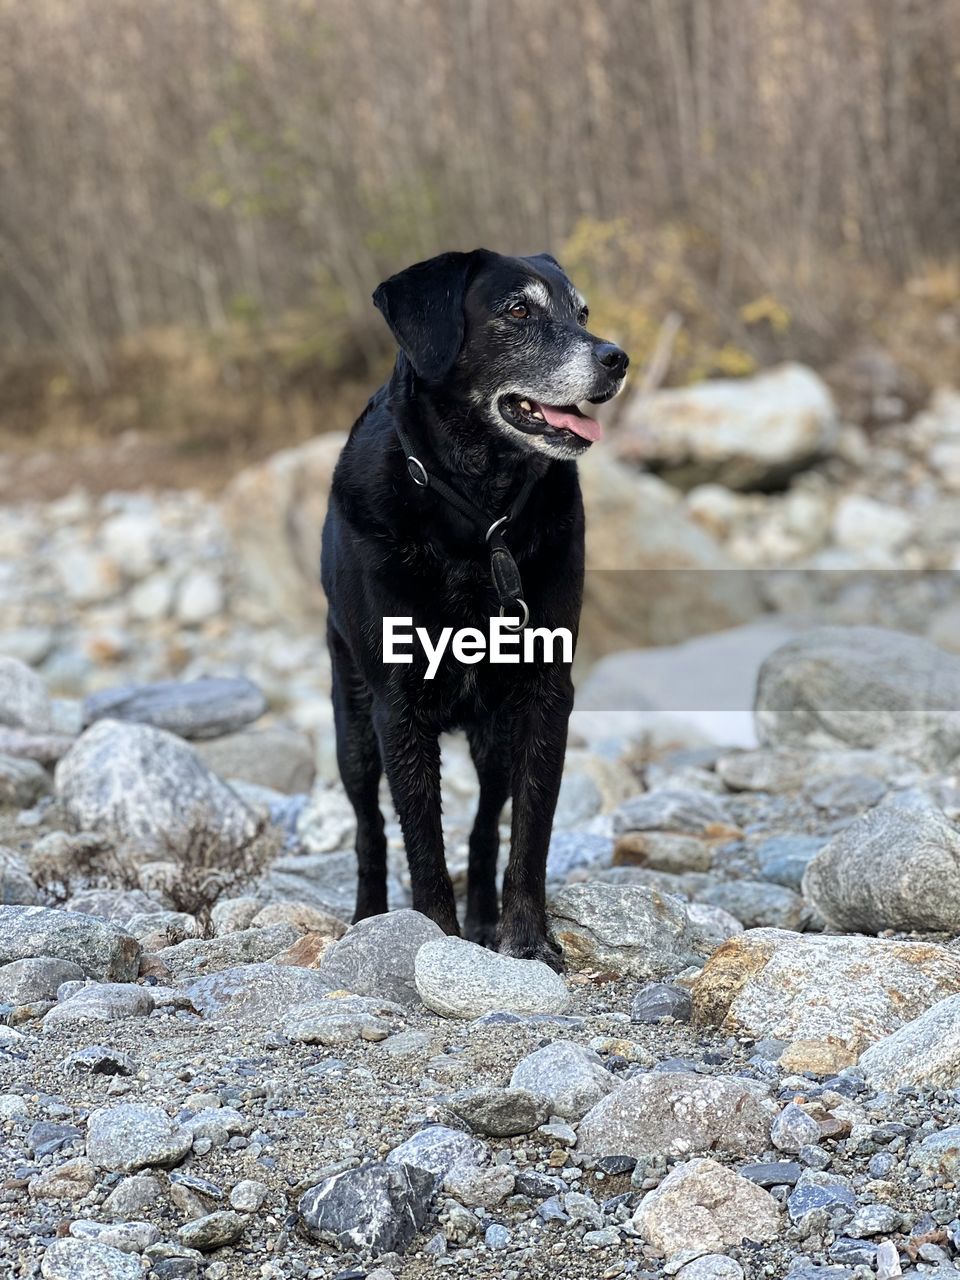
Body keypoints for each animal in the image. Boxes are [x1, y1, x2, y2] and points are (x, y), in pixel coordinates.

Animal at [320, 249, 627, 962]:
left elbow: (530, 832)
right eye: (517, 310)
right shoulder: (397, 707)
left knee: (487, 823)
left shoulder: (545, 694)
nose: (617, 358)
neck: (478, 517)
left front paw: (527, 939)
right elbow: (421, 842)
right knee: (369, 826)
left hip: (495, 735)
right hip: (352, 724)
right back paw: (367, 916)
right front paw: (431, 936)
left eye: (582, 312)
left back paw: (485, 919)